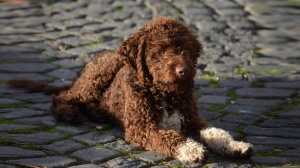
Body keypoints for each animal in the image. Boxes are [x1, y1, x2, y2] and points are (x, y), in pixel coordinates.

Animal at [5, 17, 252, 163]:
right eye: (160, 52)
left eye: (186, 49)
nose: (184, 70)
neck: (164, 92)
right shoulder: (141, 127)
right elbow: (170, 136)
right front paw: (191, 149)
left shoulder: (192, 119)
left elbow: (215, 132)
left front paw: (235, 145)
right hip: (97, 77)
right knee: (62, 97)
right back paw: (69, 113)